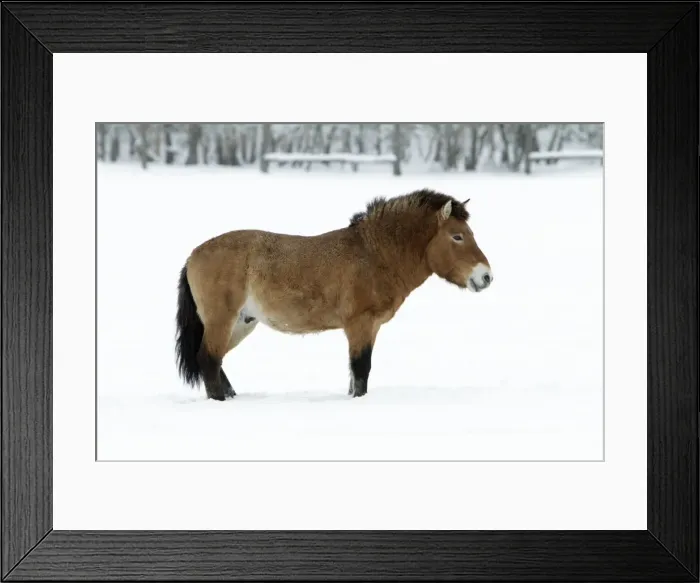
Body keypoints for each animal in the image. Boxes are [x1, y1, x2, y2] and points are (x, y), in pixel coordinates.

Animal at [175, 188, 493, 401]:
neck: (374, 254)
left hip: (242, 323)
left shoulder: (369, 327)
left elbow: (355, 375)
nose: (486, 276)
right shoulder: (360, 324)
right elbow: (361, 370)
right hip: (222, 321)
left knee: (215, 361)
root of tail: (192, 256)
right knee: (208, 359)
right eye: (457, 236)